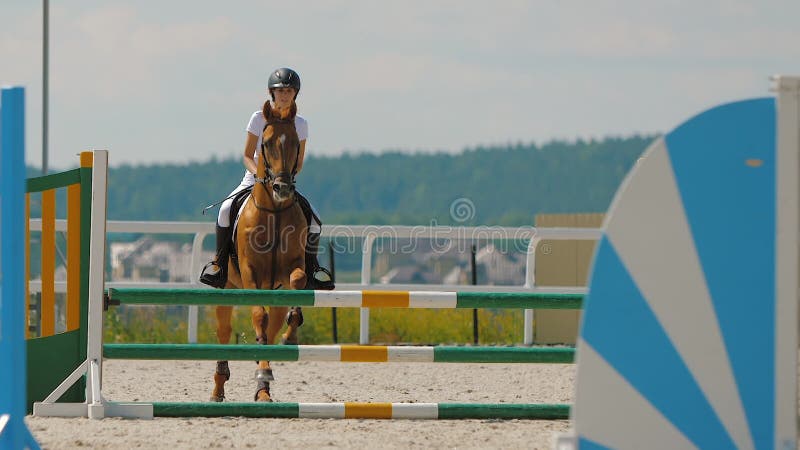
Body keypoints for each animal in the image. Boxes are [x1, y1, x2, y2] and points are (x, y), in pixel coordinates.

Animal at [212, 101, 306, 400]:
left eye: (295, 144)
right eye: (265, 143)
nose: (282, 188)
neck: (274, 212)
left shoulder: (293, 267)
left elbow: (299, 282)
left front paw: (291, 335)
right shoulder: (250, 271)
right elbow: (257, 316)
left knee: (271, 328)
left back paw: (263, 385)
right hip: (227, 288)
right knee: (224, 331)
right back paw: (219, 387)